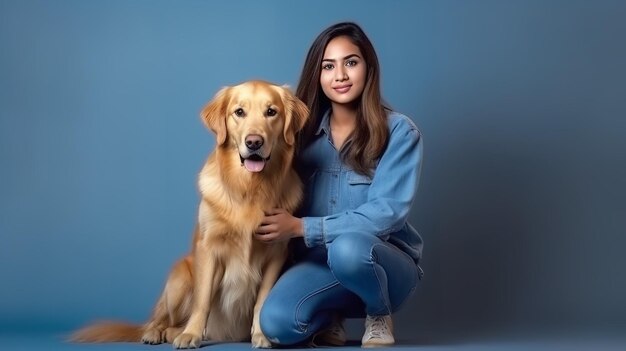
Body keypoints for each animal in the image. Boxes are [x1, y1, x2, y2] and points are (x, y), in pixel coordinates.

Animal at [70, 80, 308, 350]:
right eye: (239, 112)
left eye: (271, 112)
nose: (254, 142)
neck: (248, 188)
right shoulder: (208, 248)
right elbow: (202, 300)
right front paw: (191, 334)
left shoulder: (276, 252)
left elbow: (262, 300)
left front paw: (261, 335)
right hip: (180, 276)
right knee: (161, 319)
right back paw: (158, 332)